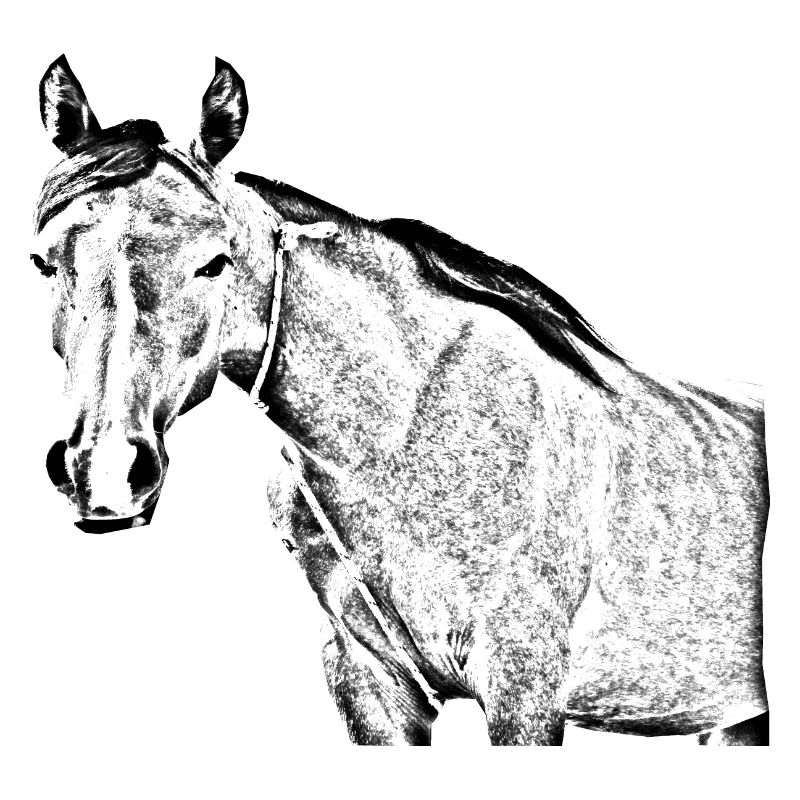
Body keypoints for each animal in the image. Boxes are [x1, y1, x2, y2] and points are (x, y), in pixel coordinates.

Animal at [32, 56, 769, 746]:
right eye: (43, 262)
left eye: (216, 261)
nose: (102, 473)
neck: (406, 441)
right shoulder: (369, 684)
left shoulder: (525, 687)